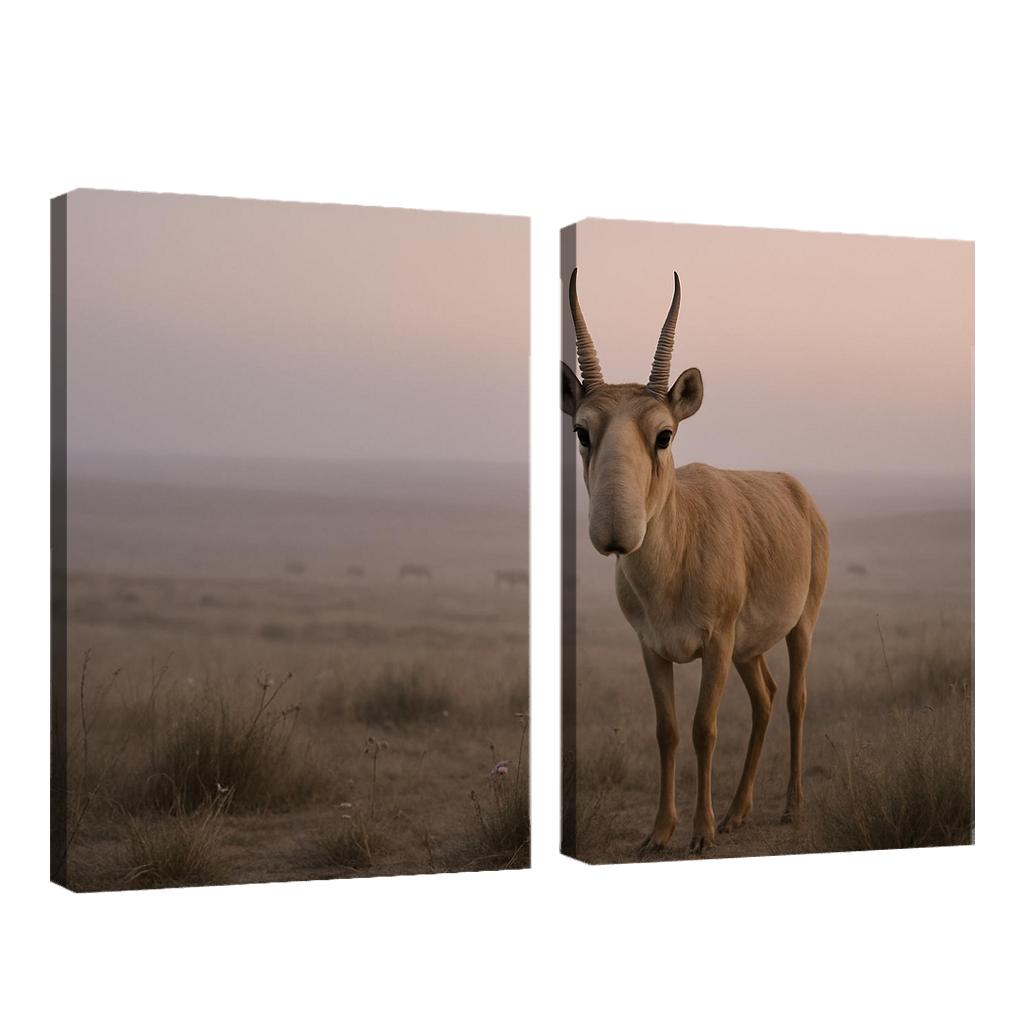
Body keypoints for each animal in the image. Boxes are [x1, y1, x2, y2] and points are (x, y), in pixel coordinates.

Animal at [562, 269, 829, 855]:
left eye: (664, 433)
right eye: (581, 430)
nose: (615, 530)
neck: (673, 567)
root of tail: (795, 491)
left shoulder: (716, 644)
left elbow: (704, 728)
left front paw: (700, 833)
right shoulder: (652, 649)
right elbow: (667, 731)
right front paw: (660, 832)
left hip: (798, 626)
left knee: (796, 698)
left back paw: (790, 808)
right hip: (749, 650)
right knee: (766, 698)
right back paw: (737, 813)